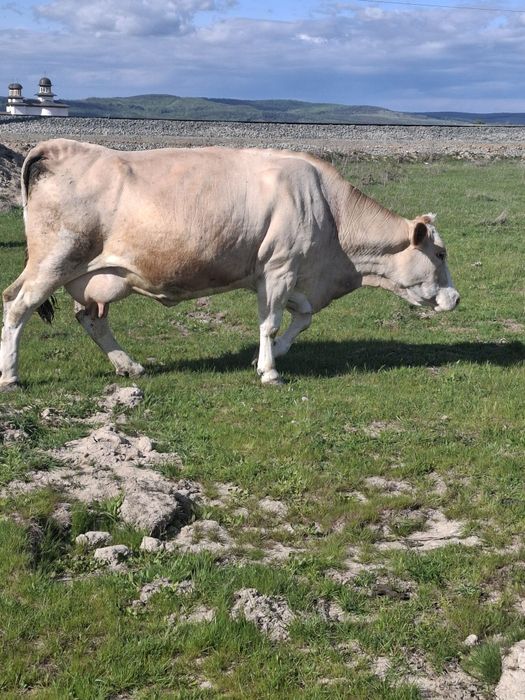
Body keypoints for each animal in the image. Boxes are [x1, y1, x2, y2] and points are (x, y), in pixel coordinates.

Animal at [0, 139, 459, 390]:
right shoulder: (280, 267)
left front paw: (273, 355)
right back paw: (11, 376)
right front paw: (270, 371)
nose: (455, 298)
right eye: (439, 254)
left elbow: (302, 316)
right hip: (55, 260)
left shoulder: (279, 275)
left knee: (90, 318)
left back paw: (128, 365)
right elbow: (271, 322)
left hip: (97, 276)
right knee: (17, 307)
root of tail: (61, 147)